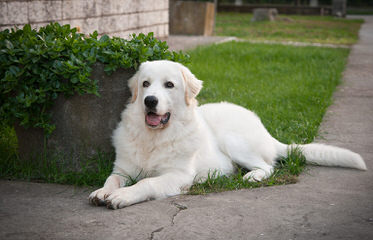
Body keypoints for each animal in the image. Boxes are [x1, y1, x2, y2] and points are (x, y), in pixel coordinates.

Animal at [90, 60, 366, 210]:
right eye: (145, 84)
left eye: (169, 85)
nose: (149, 101)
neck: (154, 137)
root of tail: (265, 130)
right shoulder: (123, 169)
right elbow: (111, 179)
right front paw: (102, 192)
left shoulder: (177, 175)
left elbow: (146, 183)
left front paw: (122, 197)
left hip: (234, 140)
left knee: (268, 166)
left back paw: (251, 176)